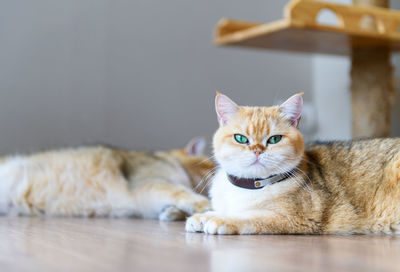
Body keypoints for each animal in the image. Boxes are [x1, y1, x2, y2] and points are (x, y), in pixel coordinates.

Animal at [0, 137, 216, 220]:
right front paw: (204, 205)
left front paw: (172, 212)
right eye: (214, 164)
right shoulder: (149, 183)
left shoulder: (146, 204)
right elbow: (182, 193)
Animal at [185, 93, 400, 234]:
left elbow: (250, 216)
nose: (257, 150)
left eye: (274, 139)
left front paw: (219, 219)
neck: (251, 186)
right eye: (240, 138)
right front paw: (203, 216)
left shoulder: (295, 218)